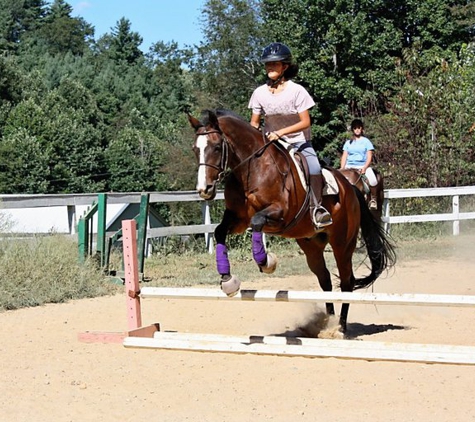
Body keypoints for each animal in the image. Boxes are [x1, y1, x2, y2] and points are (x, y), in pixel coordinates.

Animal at [188, 110, 396, 334]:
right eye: (195, 149)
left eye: (217, 147)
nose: (204, 190)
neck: (253, 169)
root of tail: (350, 187)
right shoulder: (238, 219)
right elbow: (220, 231)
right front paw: (227, 280)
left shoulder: (280, 214)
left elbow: (257, 220)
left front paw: (266, 262)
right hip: (311, 246)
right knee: (326, 282)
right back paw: (327, 323)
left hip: (343, 243)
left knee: (346, 282)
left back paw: (339, 328)